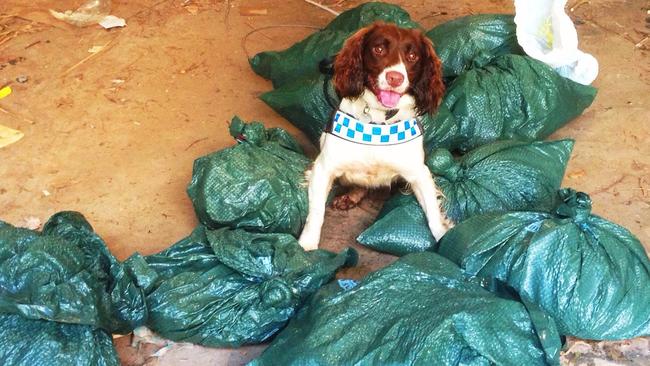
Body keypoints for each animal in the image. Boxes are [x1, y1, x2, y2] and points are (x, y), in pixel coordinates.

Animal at [298, 22, 446, 250]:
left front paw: (447, 239)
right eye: (379, 49)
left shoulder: (419, 173)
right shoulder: (323, 168)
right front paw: (307, 245)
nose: (395, 78)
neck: (378, 121)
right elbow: (316, 213)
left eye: (412, 56)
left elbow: (433, 215)